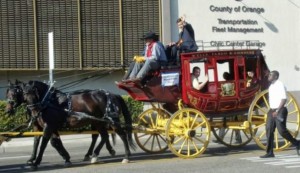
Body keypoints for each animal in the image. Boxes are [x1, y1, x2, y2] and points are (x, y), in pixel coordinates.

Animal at [6, 81, 135, 170]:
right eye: (8, 93)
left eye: (16, 93)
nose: (34, 109)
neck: (48, 102)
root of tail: (113, 94)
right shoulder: (44, 127)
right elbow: (45, 142)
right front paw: (65, 157)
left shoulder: (49, 126)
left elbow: (44, 144)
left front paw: (36, 162)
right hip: (98, 122)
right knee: (104, 136)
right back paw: (94, 155)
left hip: (112, 120)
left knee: (122, 135)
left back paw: (126, 156)